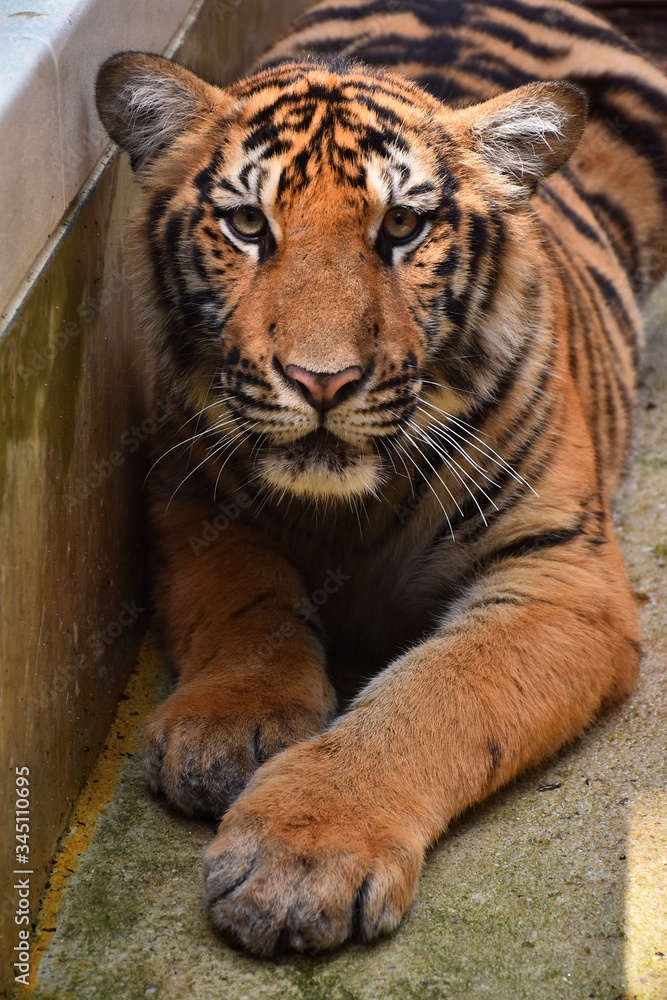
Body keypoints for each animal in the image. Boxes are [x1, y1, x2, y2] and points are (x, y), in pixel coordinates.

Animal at [95, 0, 667, 957]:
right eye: (247, 225)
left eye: (402, 229)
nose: (321, 381)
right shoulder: (185, 492)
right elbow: (240, 600)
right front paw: (228, 724)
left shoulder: (559, 576)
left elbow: (436, 694)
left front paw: (301, 853)